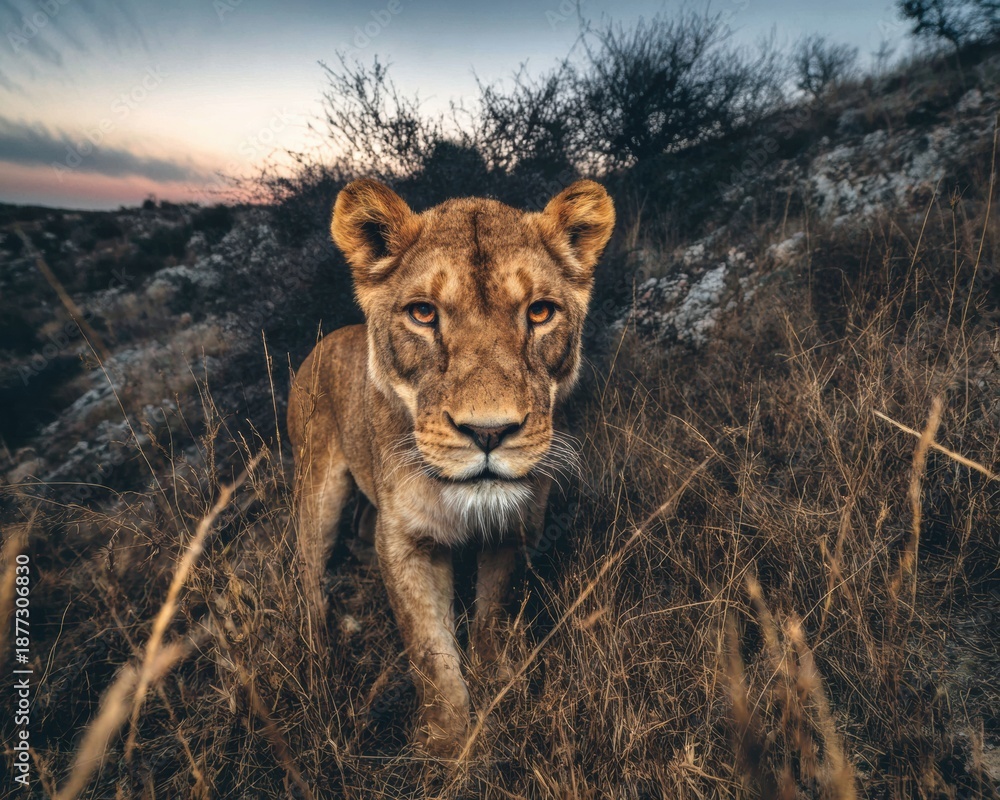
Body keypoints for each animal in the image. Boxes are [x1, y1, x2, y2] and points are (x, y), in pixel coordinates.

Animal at [287, 177, 615, 756]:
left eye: (540, 313)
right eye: (423, 314)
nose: (488, 432)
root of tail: (323, 342)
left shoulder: (515, 525)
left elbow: (494, 611)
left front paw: (497, 679)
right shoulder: (406, 541)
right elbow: (429, 650)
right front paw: (448, 745)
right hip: (317, 490)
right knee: (309, 567)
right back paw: (320, 652)